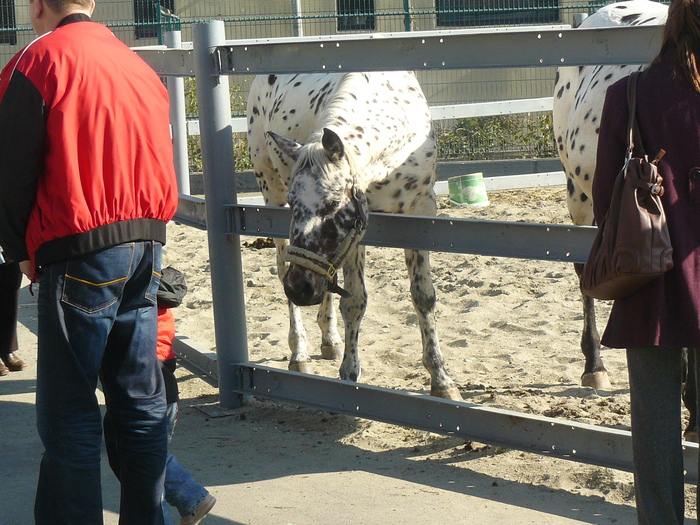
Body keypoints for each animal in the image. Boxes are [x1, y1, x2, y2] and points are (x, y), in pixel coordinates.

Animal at [247, 72, 464, 402]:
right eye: (295, 204)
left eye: (334, 202)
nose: (300, 289)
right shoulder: (357, 231)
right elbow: (355, 302)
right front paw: (350, 374)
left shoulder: (420, 212)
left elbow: (423, 296)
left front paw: (441, 379)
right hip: (270, 192)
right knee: (285, 268)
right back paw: (300, 354)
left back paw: (330, 340)